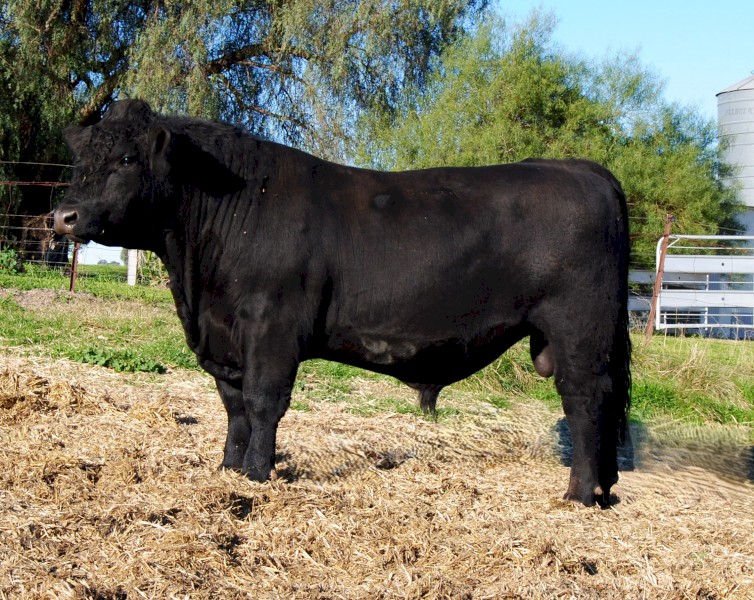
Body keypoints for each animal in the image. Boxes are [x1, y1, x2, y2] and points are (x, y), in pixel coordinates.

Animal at [54, 99, 631, 507]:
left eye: (127, 158)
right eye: (80, 159)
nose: (63, 216)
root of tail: (583, 169)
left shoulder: (271, 326)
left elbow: (263, 403)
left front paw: (258, 475)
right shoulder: (223, 337)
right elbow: (233, 406)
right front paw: (228, 470)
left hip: (579, 331)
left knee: (585, 402)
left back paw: (579, 494)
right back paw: (603, 489)